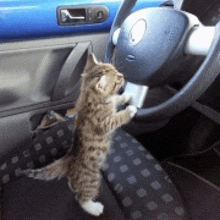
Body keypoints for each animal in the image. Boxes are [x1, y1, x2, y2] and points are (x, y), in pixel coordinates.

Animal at [21, 53, 136, 217]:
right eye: (117, 79)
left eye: (116, 71)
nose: (123, 75)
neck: (90, 96)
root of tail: (68, 161)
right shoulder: (105, 122)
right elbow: (118, 117)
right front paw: (130, 110)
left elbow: (115, 99)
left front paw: (127, 95)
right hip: (92, 180)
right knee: (82, 198)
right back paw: (94, 208)